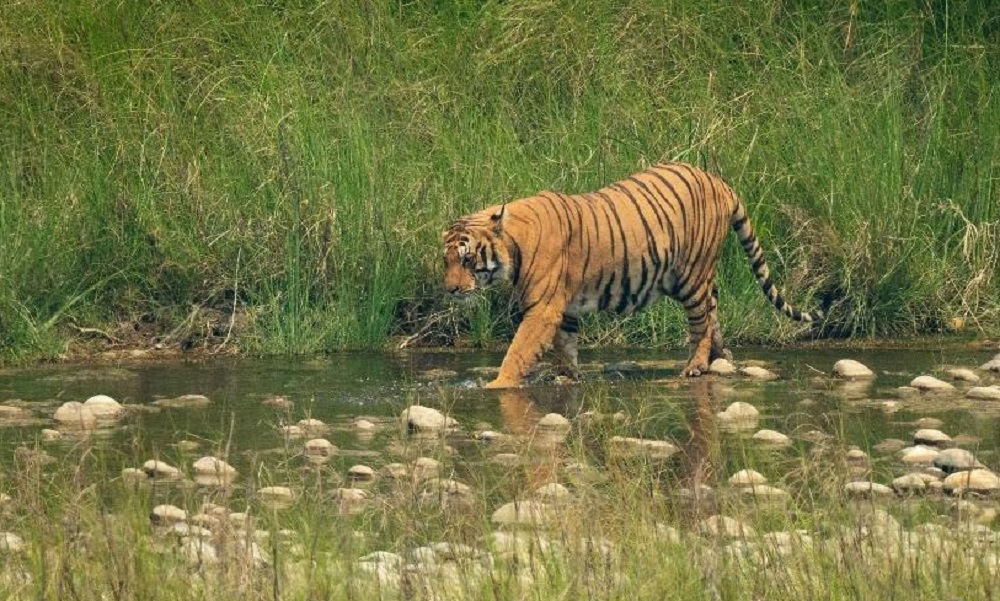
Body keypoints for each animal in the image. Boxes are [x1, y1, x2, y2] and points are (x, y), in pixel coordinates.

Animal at [442, 161, 824, 389]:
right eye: (445, 261)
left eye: (467, 258)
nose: (450, 290)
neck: (514, 242)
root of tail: (719, 182)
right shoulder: (565, 307)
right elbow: (565, 346)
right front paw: (567, 376)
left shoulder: (544, 307)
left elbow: (519, 349)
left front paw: (499, 384)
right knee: (714, 311)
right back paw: (720, 357)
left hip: (690, 276)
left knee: (701, 321)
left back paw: (696, 365)